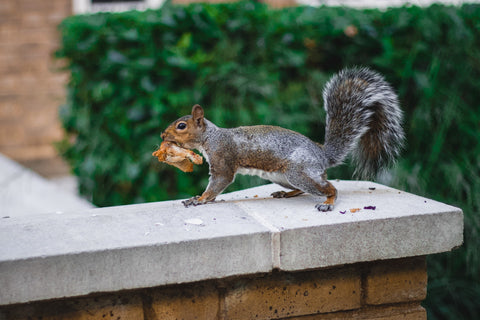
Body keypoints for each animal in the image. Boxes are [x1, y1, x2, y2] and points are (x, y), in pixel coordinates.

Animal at [162, 68, 404, 211]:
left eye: (181, 126)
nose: (163, 136)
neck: (212, 137)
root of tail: (321, 154)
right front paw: (200, 198)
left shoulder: (223, 158)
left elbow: (219, 181)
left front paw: (200, 199)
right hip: (282, 176)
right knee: (306, 187)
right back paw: (286, 193)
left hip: (299, 171)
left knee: (329, 188)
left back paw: (327, 201)